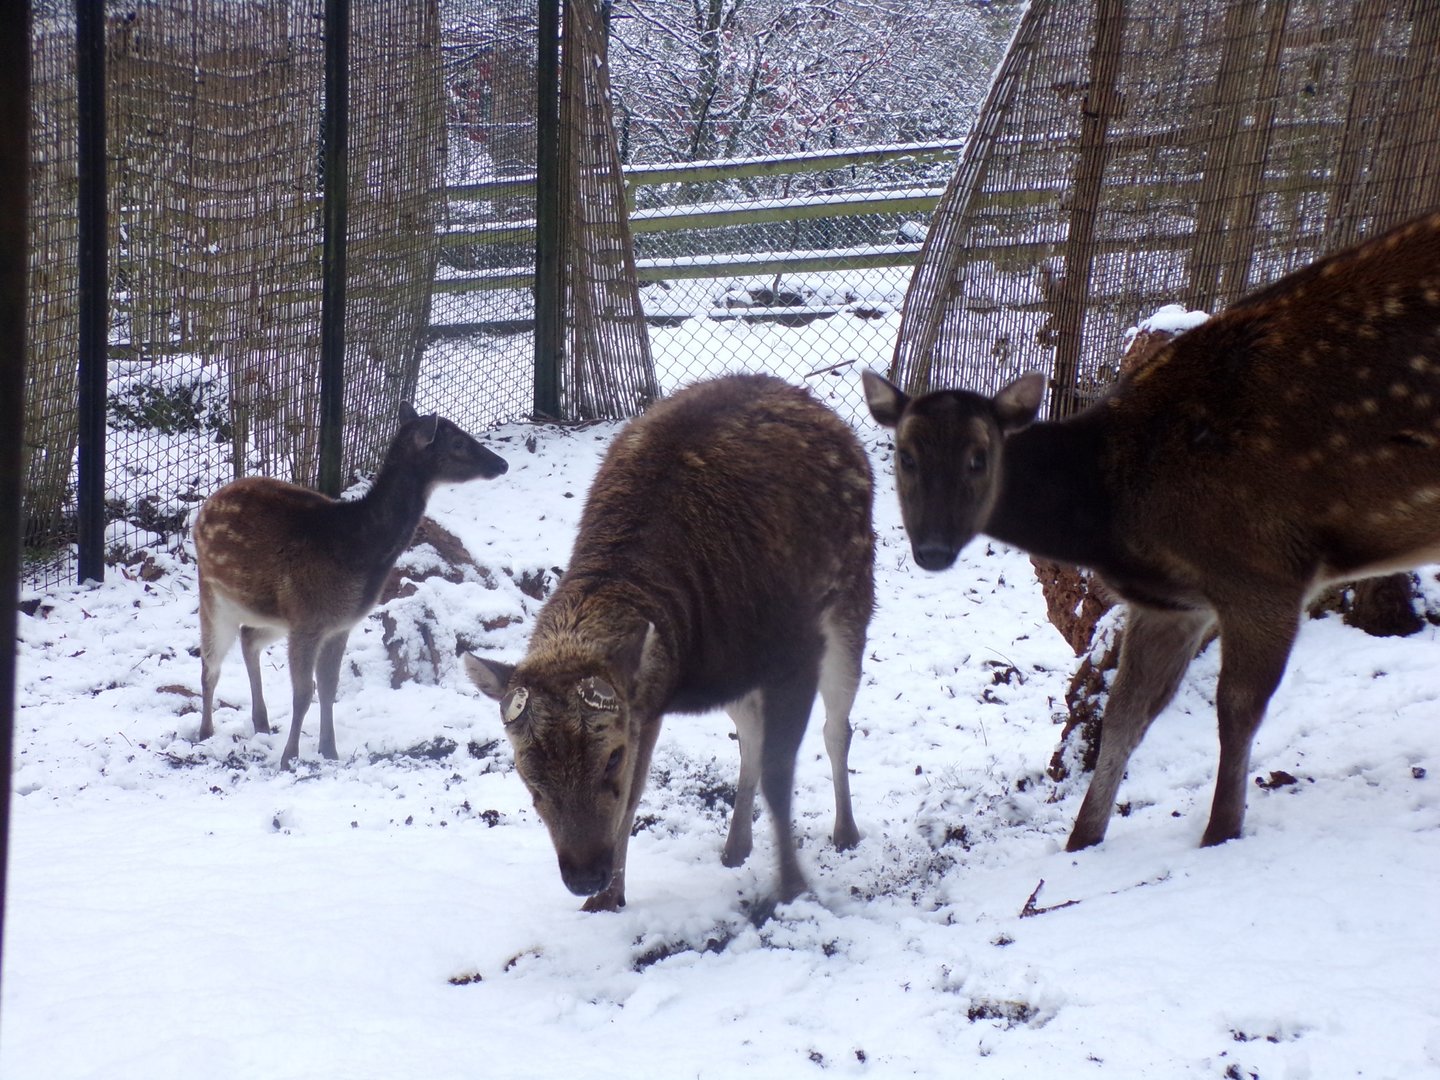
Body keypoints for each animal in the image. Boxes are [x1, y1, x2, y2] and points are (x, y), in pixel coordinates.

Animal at [194, 404, 508, 769]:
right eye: (458, 441)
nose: (501, 463)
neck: (359, 548)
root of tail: (203, 510)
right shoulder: (309, 618)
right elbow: (304, 692)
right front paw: (290, 758)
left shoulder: (338, 624)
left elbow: (329, 687)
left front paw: (329, 751)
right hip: (214, 594)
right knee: (210, 663)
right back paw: (205, 732)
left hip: (271, 612)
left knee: (248, 638)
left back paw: (262, 723)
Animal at [465, 373, 875, 912]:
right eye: (526, 772)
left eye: (611, 755)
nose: (584, 876)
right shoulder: (651, 698)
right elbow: (642, 794)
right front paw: (610, 899)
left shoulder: (794, 651)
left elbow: (780, 770)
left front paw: (792, 887)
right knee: (752, 733)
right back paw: (736, 846)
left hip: (851, 601)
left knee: (837, 726)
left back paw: (846, 832)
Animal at [864, 210, 1440, 853]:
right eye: (905, 456)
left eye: (978, 457)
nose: (933, 549)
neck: (1116, 519)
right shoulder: (1172, 601)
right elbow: (1125, 717)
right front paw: (1081, 841)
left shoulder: (1264, 568)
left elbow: (1236, 709)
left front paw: (1220, 834)